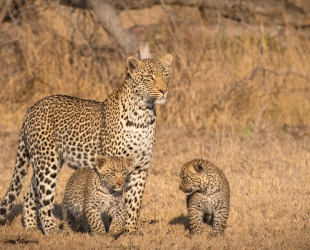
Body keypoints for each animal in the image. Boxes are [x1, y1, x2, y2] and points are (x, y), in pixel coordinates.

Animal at [0, 54, 173, 234]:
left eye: (166, 76)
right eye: (149, 77)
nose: (164, 90)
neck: (143, 114)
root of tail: (31, 109)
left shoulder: (140, 167)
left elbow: (135, 200)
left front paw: (130, 229)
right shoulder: (113, 164)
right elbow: (114, 196)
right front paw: (112, 227)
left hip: (47, 161)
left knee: (30, 193)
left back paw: (31, 227)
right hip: (47, 163)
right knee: (45, 199)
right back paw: (52, 230)